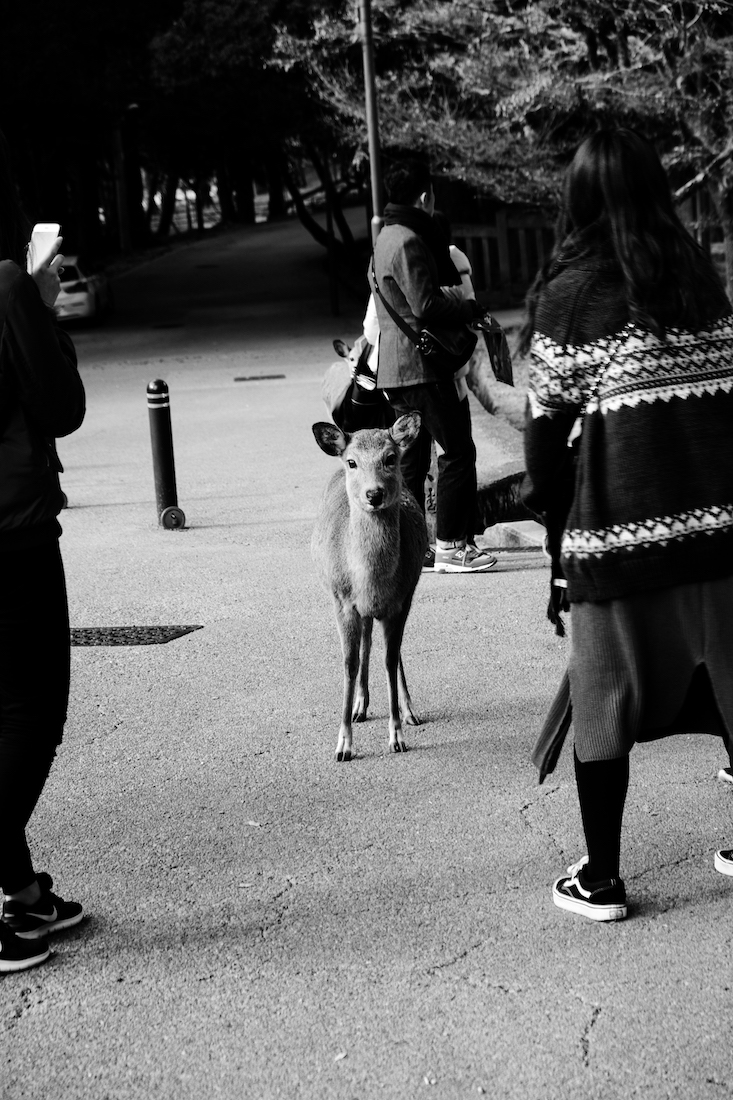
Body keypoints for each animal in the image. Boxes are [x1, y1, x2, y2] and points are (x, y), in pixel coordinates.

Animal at [311, 412, 427, 761]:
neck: (369, 582)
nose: (374, 495)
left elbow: (390, 660)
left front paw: (397, 736)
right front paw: (343, 745)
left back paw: (410, 711)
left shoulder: (401, 601)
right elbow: (348, 663)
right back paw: (360, 706)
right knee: (366, 641)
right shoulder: (341, 601)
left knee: (388, 649)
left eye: (390, 458)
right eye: (352, 461)